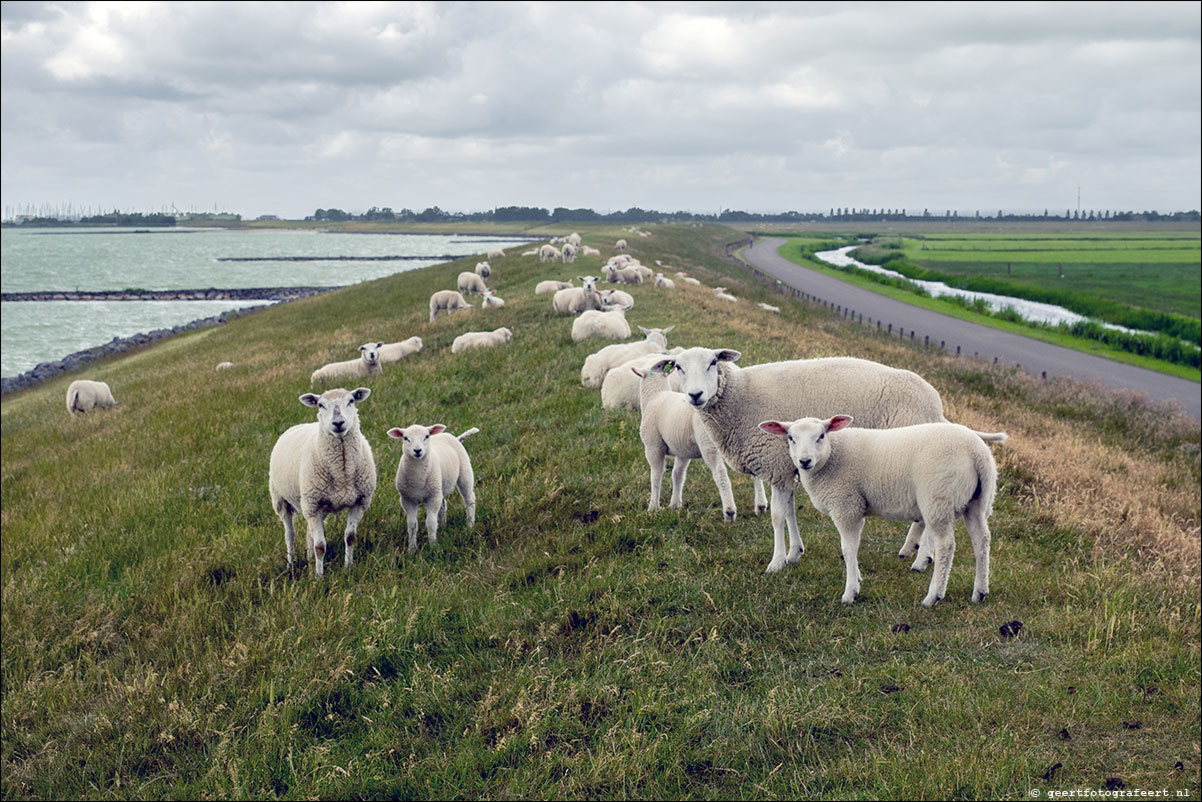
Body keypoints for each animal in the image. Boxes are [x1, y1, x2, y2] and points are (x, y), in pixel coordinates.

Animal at [270, 387, 377, 577]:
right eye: (320, 405)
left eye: (351, 401)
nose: (338, 423)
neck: (342, 473)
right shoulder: (313, 505)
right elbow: (320, 546)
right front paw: (319, 577)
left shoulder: (359, 502)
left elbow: (350, 537)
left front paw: (348, 567)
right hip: (282, 500)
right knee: (289, 535)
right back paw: (291, 565)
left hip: (316, 506)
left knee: (308, 534)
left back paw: (310, 560)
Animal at [384, 425, 478, 553]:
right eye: (405, 438)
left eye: (426, 436)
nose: (417, 451)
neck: (417, 479)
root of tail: (455, 437)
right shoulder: (407, 499)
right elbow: (412, 525)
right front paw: (411, 550)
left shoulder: (433, 498)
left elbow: (431, 523)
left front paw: (433, 547)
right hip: (439, 487)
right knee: (443, 505)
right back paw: (443, 526)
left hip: (464, 473)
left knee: (469, 500)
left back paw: (470, 525)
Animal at [634, 365, 764, 517]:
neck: (655, 394)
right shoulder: (682, 450)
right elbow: (678, 475)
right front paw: (675, 504)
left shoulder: (653, 446)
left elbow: (656, 476)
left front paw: (653, 506)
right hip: (746, 439)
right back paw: (761, 506)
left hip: (708, 443)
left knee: (720, 473)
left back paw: (729, 510)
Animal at [658, 348, 947, 574]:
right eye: (679, 367)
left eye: (713, 362)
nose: (695, 395)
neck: (740, 397)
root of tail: (936, 405)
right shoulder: (786, 468)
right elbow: (789, 512)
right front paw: (794, 553)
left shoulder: (775, 463)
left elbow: (777, 516)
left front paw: (776, 562)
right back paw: (912, 550)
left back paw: (921, 559)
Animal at [759, 418, 1004, 606]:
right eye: (791, 438)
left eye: (820, 436)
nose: (804, 461)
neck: (832, 457)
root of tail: (977, 451)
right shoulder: (856, 507)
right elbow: (855, 547)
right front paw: (857, 578)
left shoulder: (846, 505)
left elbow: (848, 548)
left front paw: (850, 593)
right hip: (976, 501)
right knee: (982, 540)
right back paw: (980, 592)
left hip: (938, 499)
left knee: (946, 546)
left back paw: (933, 596)